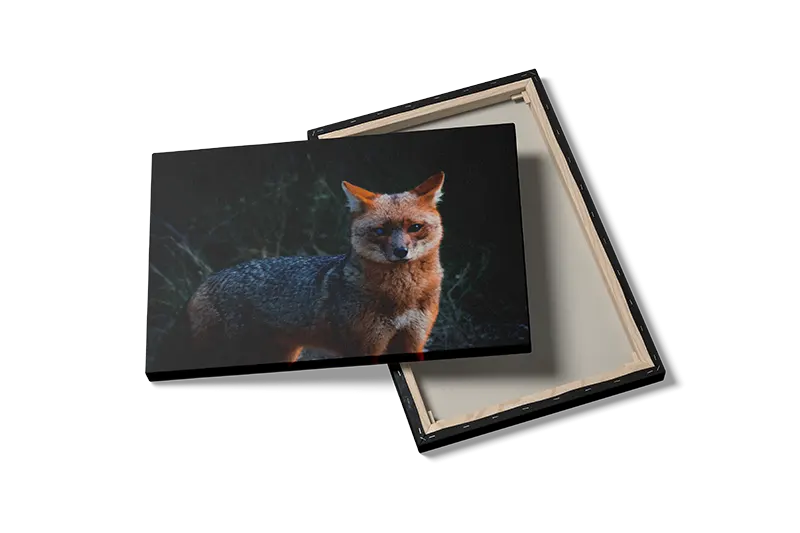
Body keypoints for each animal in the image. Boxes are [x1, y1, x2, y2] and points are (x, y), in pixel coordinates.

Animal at [163, 171, 446, 369]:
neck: (402, 296)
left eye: (415, 228)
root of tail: (206, 281)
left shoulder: (413, 340)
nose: (401, 251)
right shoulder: (365, 346)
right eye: (380, 231)